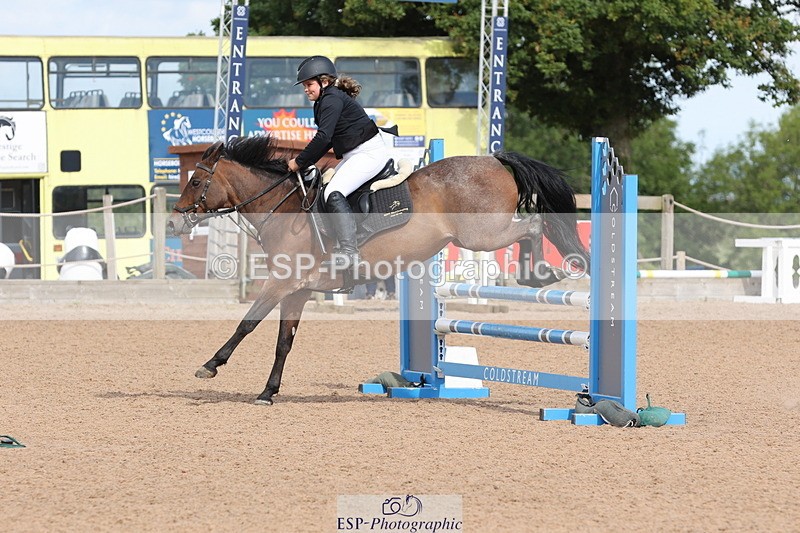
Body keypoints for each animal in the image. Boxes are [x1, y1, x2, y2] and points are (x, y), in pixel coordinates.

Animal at [168, 135, 589, 405]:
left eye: (197, 180)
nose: (173, 224)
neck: (283, 208)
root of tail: (493, 159)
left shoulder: (281, 283)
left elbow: (247, 323)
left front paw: (210, 366)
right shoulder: (298, 290)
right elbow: (284, 342)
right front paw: (268, 392)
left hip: (481, 235)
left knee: (533, 225)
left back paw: (539, 273)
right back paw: (538, 275)